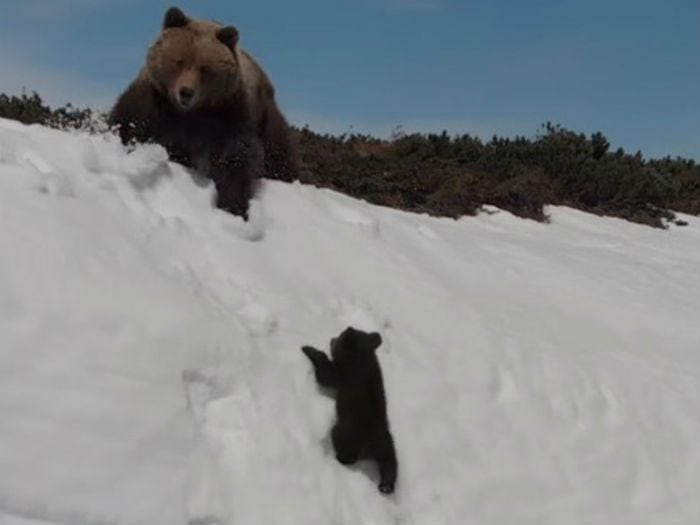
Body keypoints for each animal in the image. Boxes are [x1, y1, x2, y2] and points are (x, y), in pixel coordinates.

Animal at [109, 6, 298, 219]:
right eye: (179, 61)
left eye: (204, 68)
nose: (186, 92)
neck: (191, 113)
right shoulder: (155, 100)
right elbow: (130, 122)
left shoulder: (230, 114)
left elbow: (235, 159)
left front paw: (232, 205)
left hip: (268, 119)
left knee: (280, 155)